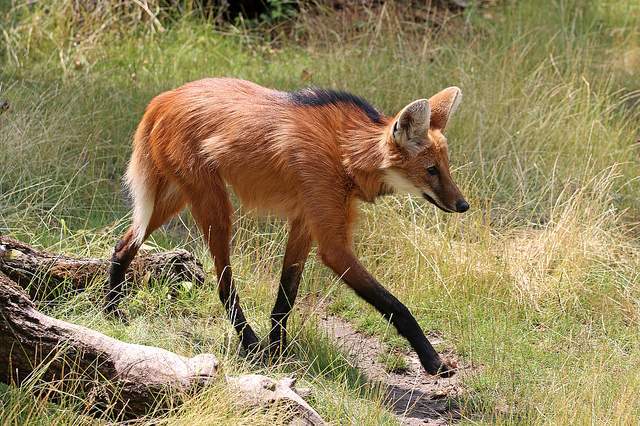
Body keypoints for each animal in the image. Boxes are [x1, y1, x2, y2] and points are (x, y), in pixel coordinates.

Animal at [106, 76, 470, 376]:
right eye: (431, 170)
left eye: (446, 167)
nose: (463, 205)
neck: (345, 154)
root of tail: (164, 98)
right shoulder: (331, 241)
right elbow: (396, 305)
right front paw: (434, 362)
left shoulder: (306, 220)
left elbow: (286, 295)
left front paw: (279, 351)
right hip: (213, 204)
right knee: (223, 284)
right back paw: (250, 343)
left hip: (175, 197)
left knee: (125, 244)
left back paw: (111, 311)